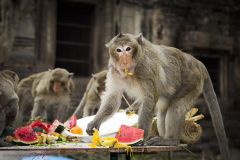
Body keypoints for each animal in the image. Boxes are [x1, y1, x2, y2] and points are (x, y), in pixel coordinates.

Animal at [86, 32, 231, 160]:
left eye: (128, 49)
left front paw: (140, 135)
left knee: (175, 107)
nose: (125, 59)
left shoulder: (147, 69)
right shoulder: (114, 71)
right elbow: (113, 98)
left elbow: (149, 99)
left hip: (192, 82)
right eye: (119, 50)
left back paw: (171, 141)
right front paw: (95, 122)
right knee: (163, 110)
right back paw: (163, 138)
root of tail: (196, 62)